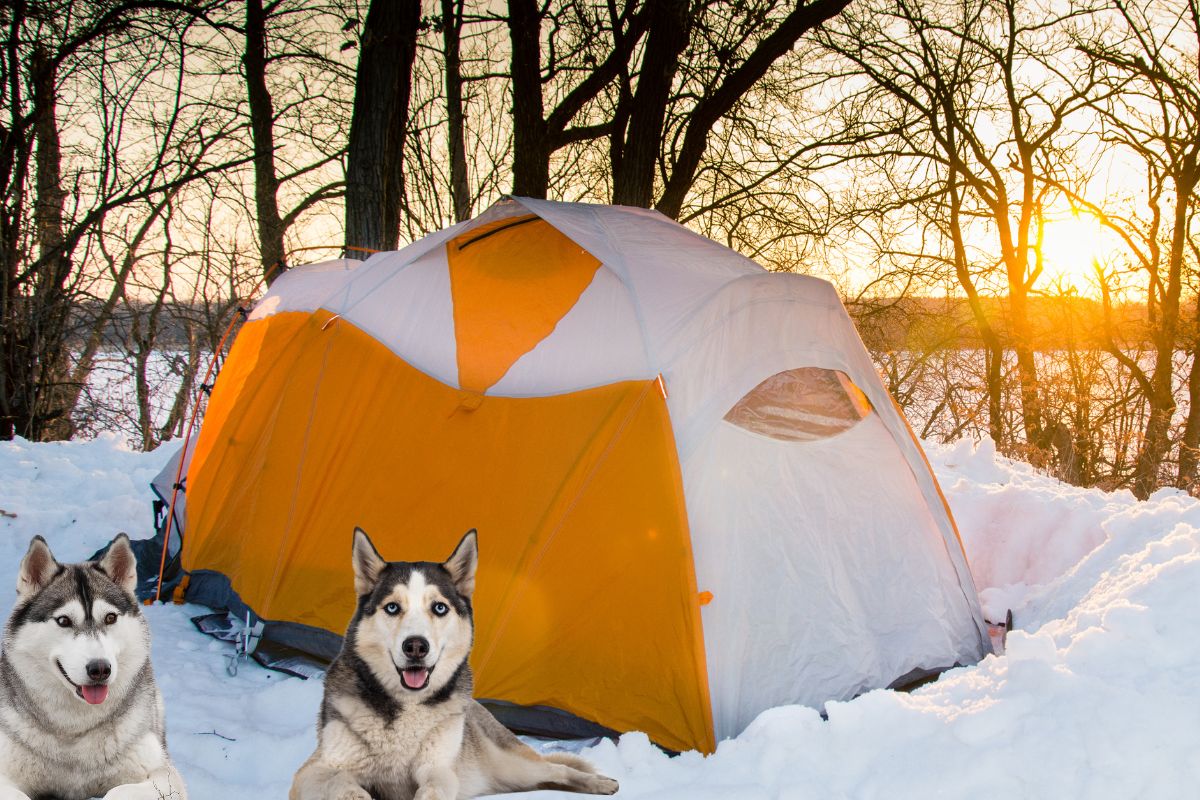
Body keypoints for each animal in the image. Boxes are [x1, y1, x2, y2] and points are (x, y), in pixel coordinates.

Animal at [0, 537, 186, 800]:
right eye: (64, 621)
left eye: (110, 618)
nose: (100, 669)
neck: (75, 729)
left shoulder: (166, 776)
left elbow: (118, 792)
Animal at [290, 532, 619, 800]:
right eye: (393, 607)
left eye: (439, 608)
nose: (416, 646)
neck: (405, 709)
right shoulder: (313, 769)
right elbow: (339, 780)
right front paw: (355, 791)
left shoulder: (439, 768)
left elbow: (435, 787)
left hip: (511, 764)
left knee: (557, 769)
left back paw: (601, 783)